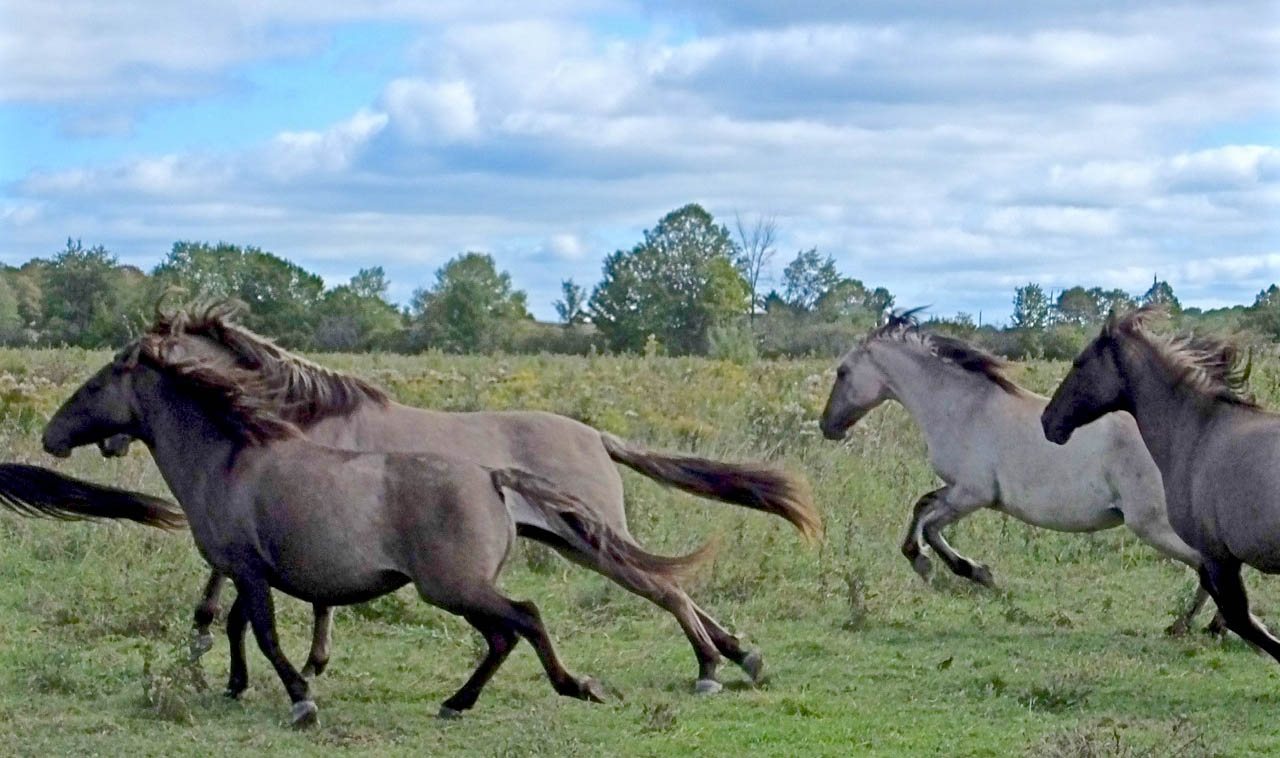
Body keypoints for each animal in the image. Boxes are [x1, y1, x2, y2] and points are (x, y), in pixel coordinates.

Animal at [42, 316, 819, 727]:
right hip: (567, 545)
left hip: (554, 551)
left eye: (99, 379)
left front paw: (293, 679)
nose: (54, 438)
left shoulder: (265, 557)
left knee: (648, 593)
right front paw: (244, 672)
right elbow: (249, 611)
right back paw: (736, 656)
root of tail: (597, 434)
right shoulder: (269, 558)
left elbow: (260, 612)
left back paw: (707, 667)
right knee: (651, 592)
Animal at [819, 311, 1218, 629]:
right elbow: (921, 507)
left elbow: (930, 527)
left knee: (1207, 564)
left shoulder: (973, 493)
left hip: (1151, 524)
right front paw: (925, 561)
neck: (961, 407)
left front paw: (969, 572)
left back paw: (1195, 626)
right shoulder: (958, 489)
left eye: (842, 371)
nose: (827, 426)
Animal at [1039, 307, 1280, 665]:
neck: (1199, 433)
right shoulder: (1217, 559)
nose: (1047, 421)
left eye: (1079, 362)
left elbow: (1238, 616)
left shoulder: (1217, 556)